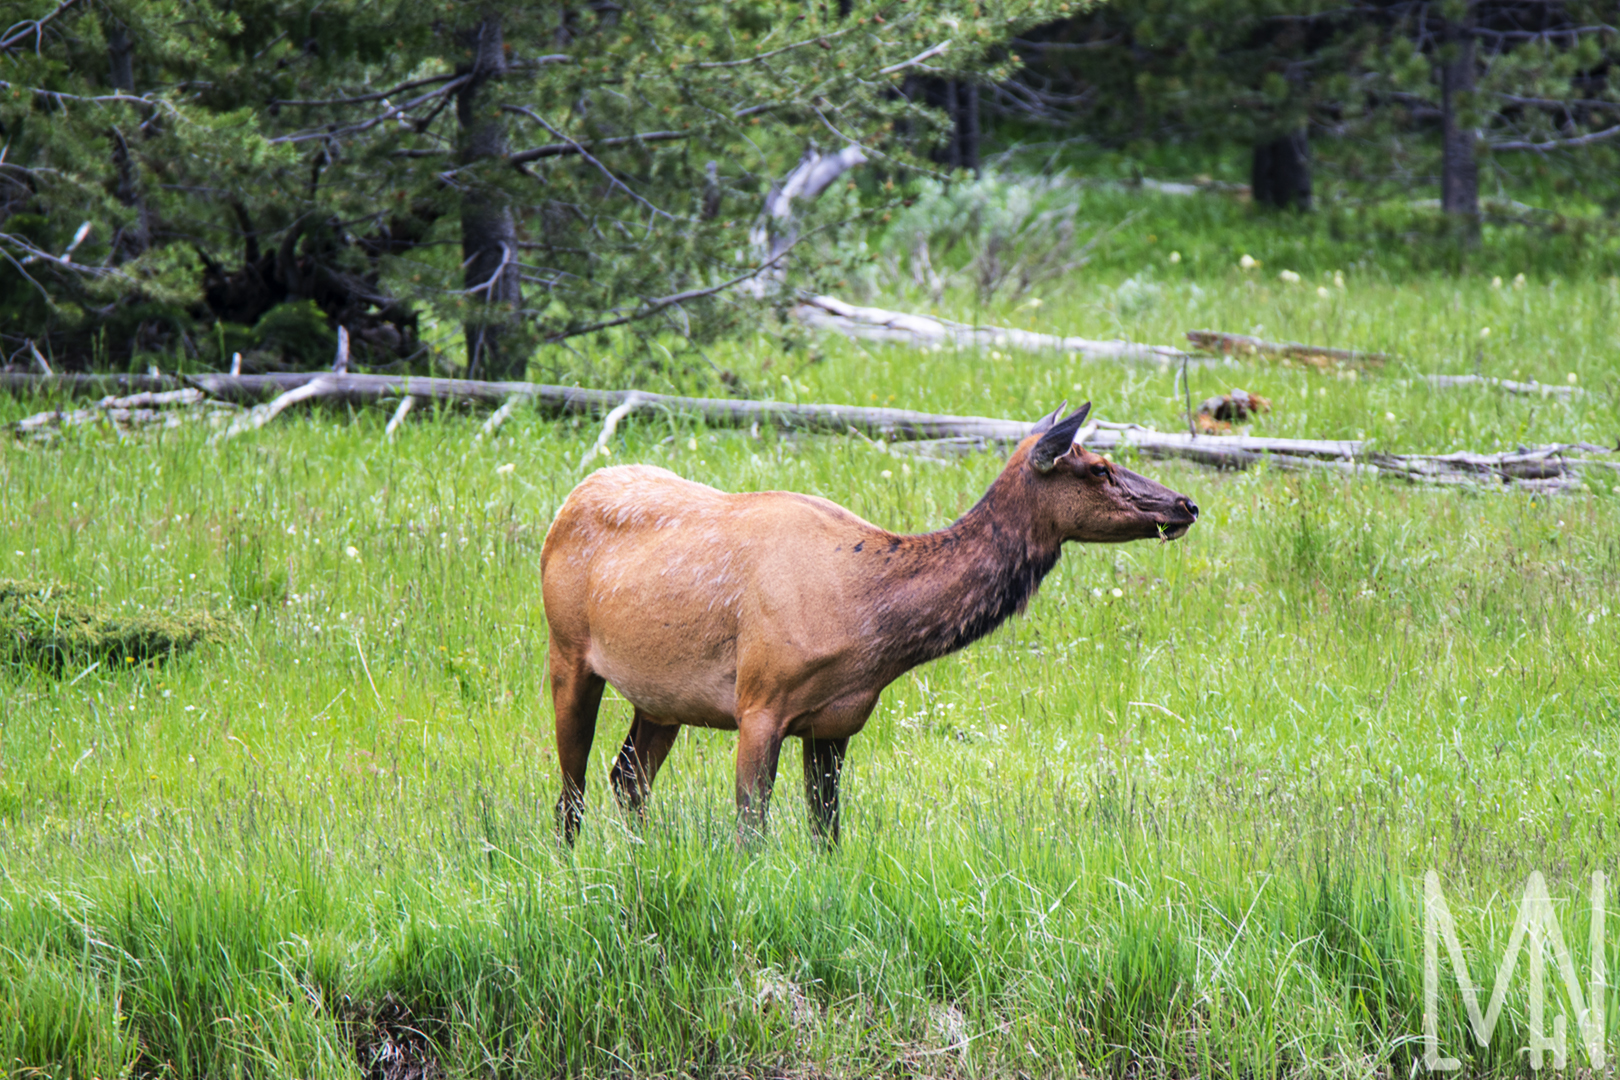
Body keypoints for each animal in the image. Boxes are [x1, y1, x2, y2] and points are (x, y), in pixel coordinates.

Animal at [537, 403, 1198, 841]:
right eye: (1099, 468)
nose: (1186, 504)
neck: (871, 629)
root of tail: (567, 502)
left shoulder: (836, 724)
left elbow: (827, 837)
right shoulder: (759, 701)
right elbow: (751, 832)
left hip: (663, 696)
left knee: (628, 776)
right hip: (568, 652)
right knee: (572, 789)